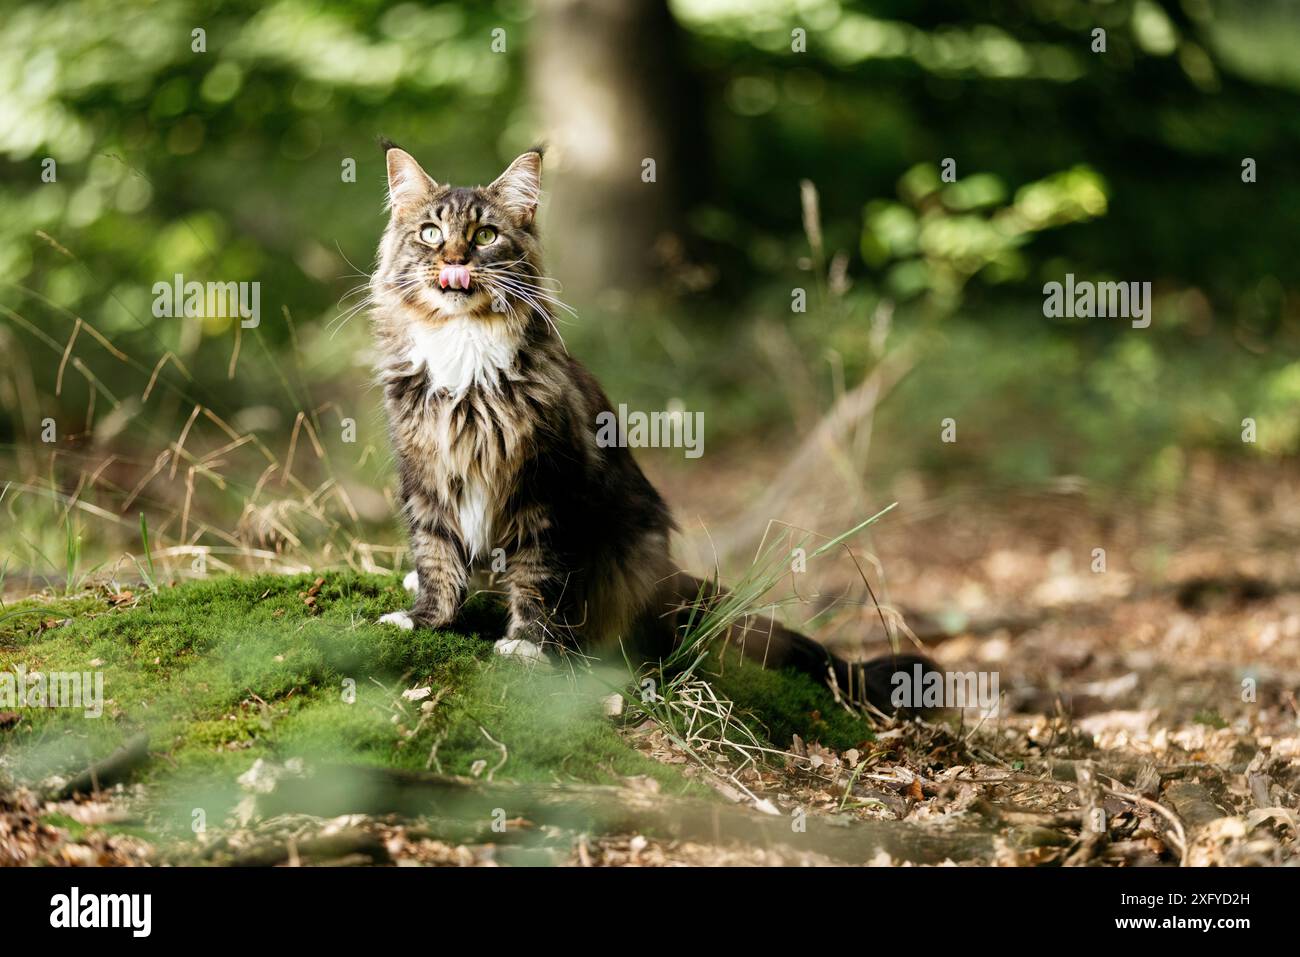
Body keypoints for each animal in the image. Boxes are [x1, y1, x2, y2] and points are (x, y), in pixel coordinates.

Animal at [371, 141, 930, 712]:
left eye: (485, 236)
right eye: (431, 233)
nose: (455, 261)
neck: (463, 352)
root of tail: (670, 579)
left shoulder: (546, 491)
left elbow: (537, 577)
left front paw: (527, 644)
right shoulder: (426, 477)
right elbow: (438, 558)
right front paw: (424, 619)